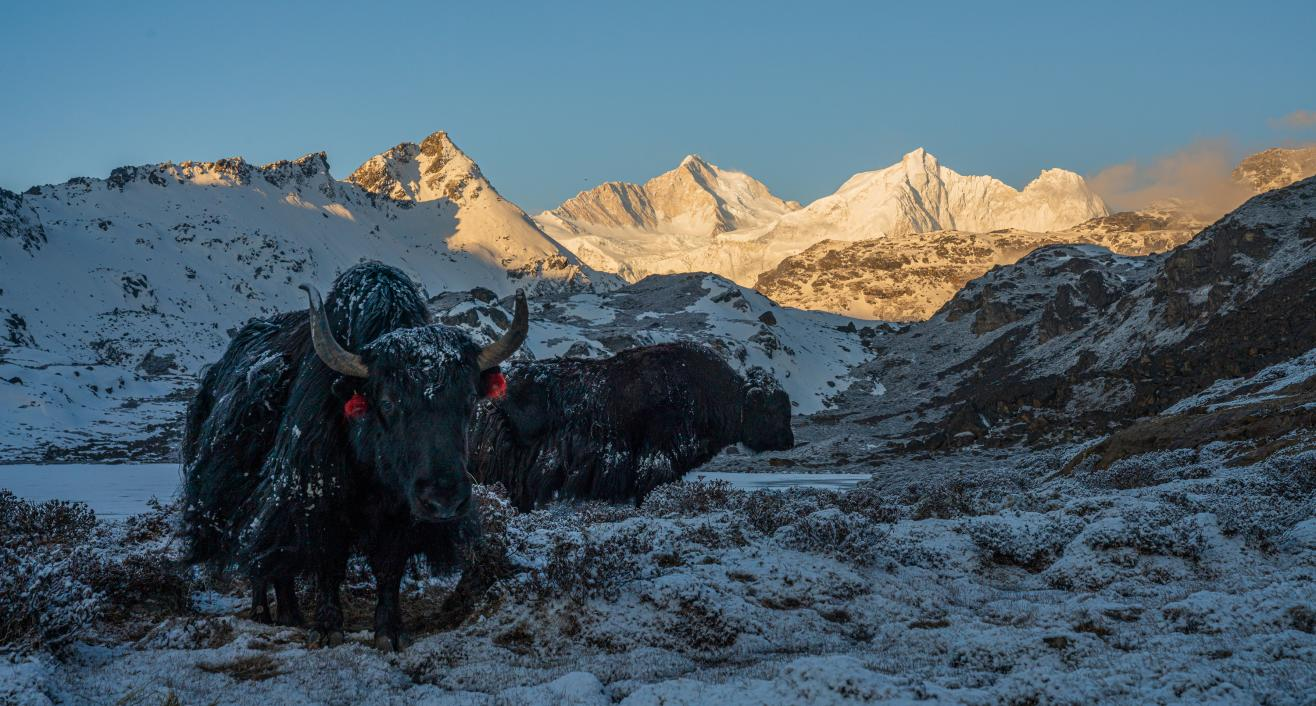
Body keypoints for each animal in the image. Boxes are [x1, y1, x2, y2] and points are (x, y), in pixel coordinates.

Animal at [181, 261, 527, 650]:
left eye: (468, 400)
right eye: (388, 402)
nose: (444, 500)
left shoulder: (400, 513)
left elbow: (389, 568)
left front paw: (390, 632)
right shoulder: (316, 503)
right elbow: (328, 564)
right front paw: (328, 628)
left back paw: (291, 614)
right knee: (264, 557)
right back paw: (269, 614)